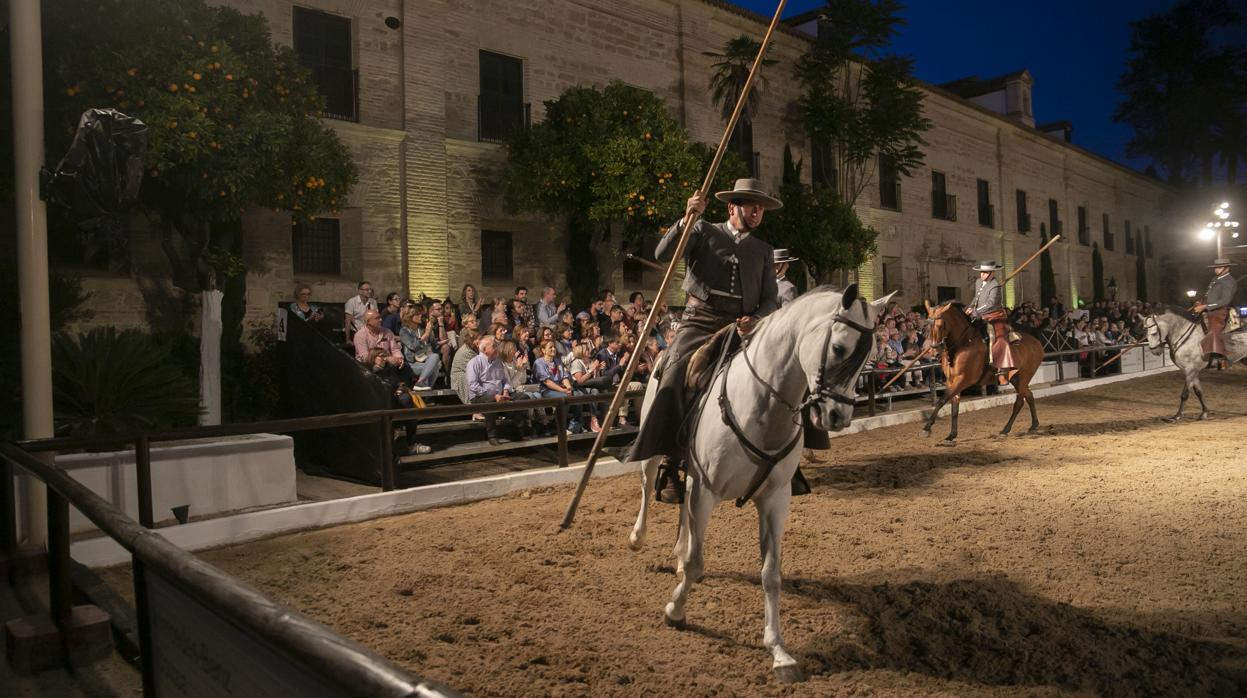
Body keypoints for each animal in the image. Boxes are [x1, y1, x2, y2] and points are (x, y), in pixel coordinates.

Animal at [628, 281, 892, 683]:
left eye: (869, 356)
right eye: (838, 348)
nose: (837, 416)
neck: (762, 406)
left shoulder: (774, 500)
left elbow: (770, 574)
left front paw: (779, 652)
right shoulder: (705, 491)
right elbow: (697, 562)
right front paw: (675, 611)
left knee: (682, 513)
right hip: (653, 447)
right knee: (646, 485)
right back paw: (638, 537)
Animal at [922, 300, 1047, 441]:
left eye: (940, 325)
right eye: (926, 325)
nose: (934, 352)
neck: (964, 343)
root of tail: (1036, 342)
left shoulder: (963, 379)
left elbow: (942, 400)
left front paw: (927, 428)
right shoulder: (952, 380)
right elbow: (954, 406)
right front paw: (952, 435)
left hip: (1024, 376)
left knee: (1019, 402)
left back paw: (1005, 429)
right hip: (1016, 378)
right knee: (1029, 396)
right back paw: (1034, 424)